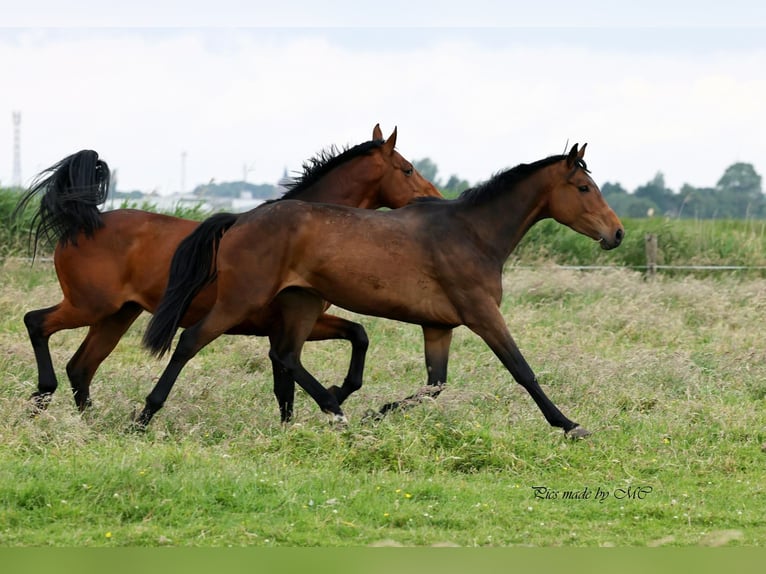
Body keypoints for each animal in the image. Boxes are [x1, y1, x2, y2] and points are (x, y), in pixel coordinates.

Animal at [15, 125, 440, 418]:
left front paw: (320, 405)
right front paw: (330, 401)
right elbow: (291, 370)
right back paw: (45, 398)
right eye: (407, 169)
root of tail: (86, 221)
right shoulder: (287, 321)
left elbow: (349, 340)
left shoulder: (292, 322)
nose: (435, 199)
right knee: (37, 323)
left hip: (117, 315)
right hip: (89, 306)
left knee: (81, 367)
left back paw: (89, 421)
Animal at [142, 143, 624, 436]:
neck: (472, 233)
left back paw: (334, 407)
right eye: (584, 187)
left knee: (286, 356)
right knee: (190, 342)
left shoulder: (438, 327)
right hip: (242, 300)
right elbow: (522, 370)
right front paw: (568, 424)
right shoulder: (483, 315)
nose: (617, 233)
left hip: (300, 304)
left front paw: (377, 413)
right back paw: (144, 417)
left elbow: (434, 385)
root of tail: (241, 218)